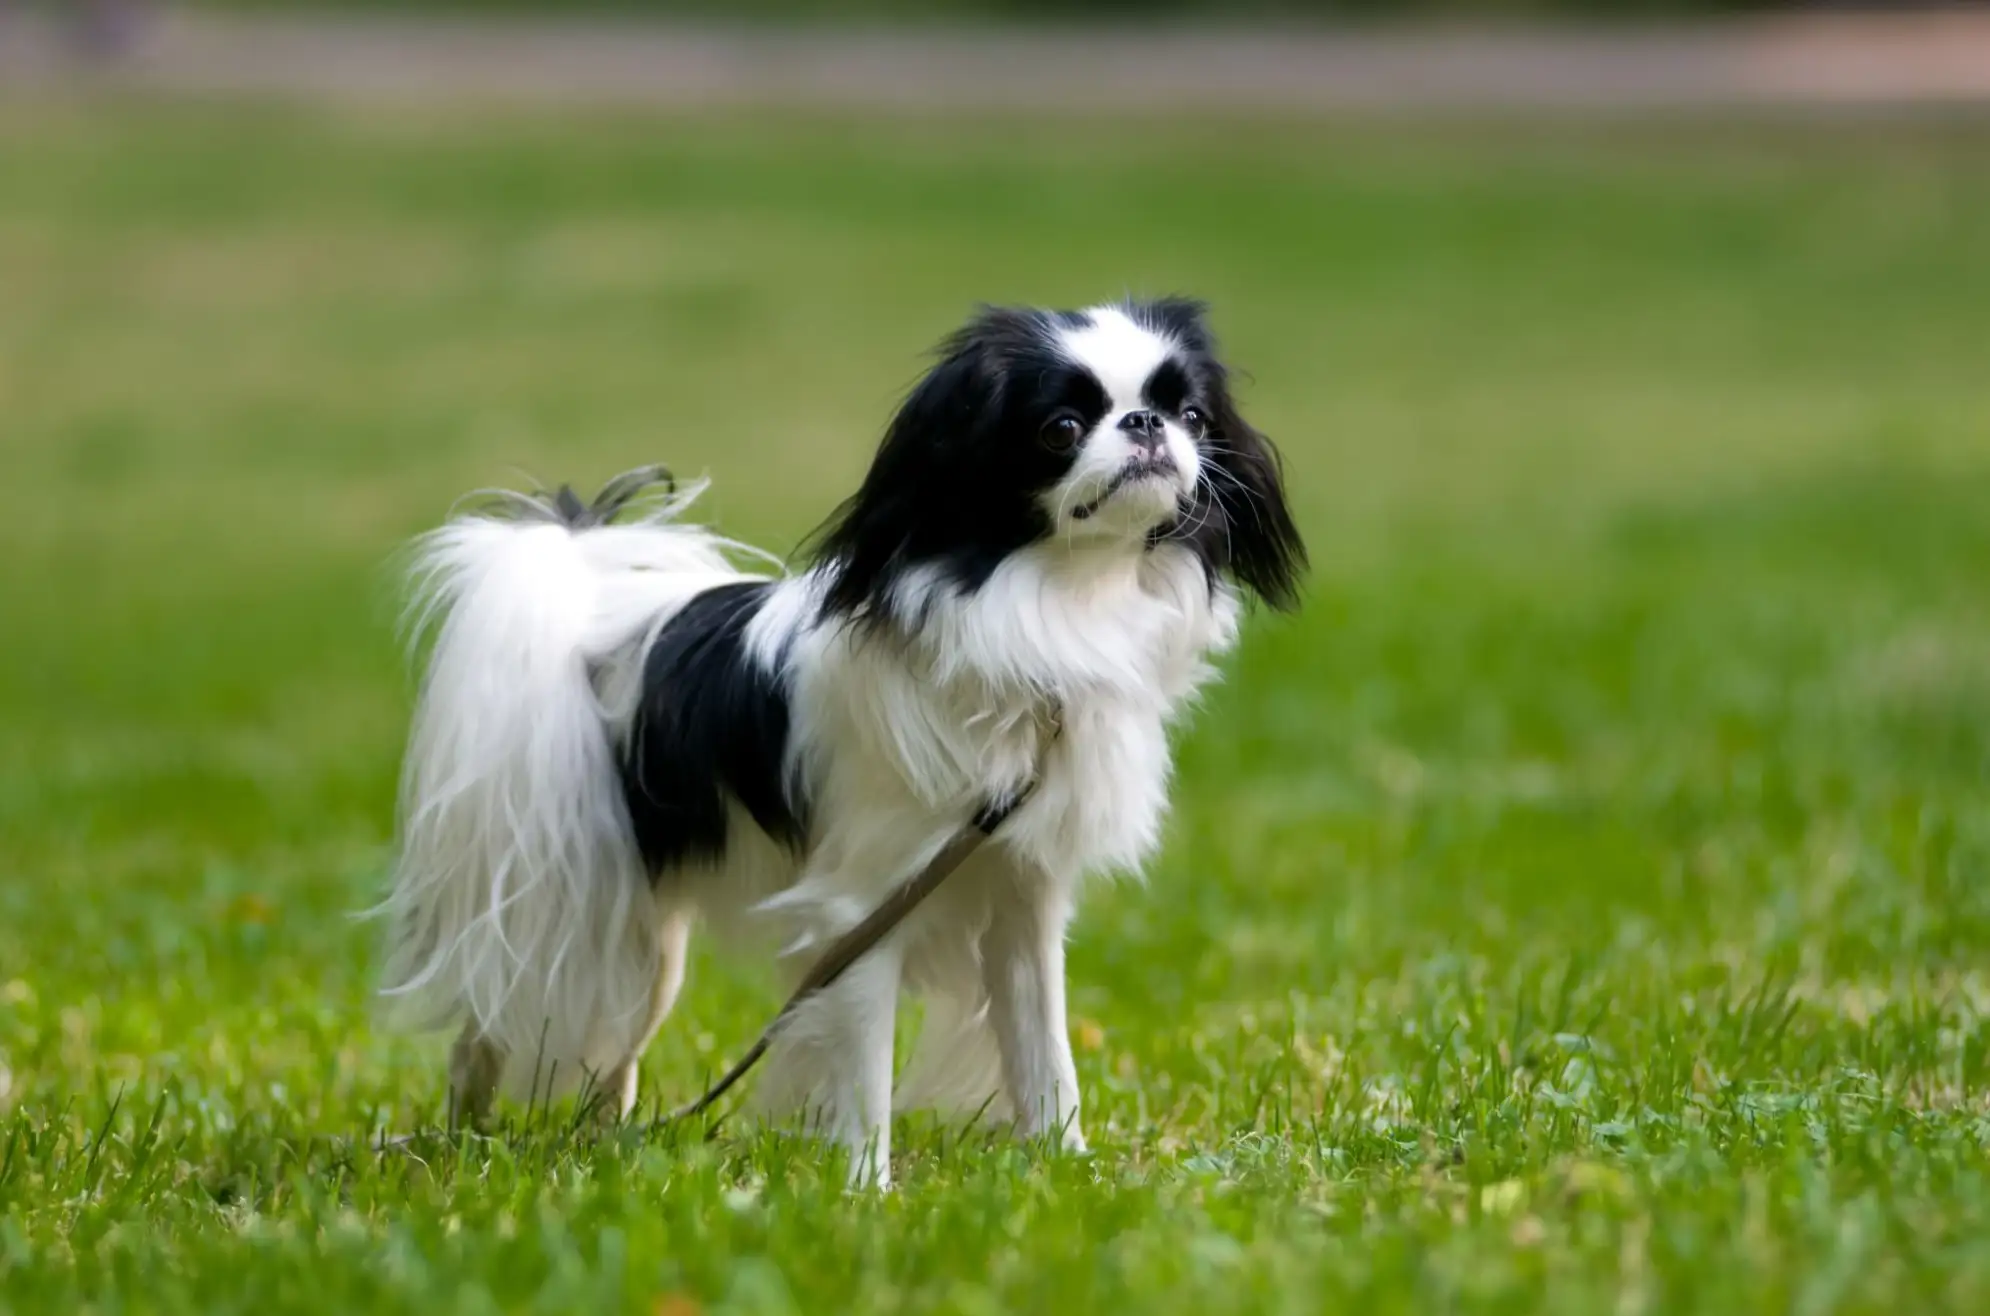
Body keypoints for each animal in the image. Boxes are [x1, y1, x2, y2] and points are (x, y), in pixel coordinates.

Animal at [376, 302, 1305, 1186]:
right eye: (1061, 428)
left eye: (1189, 413)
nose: (1147, 424)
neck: (1058, 603)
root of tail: (590, 609)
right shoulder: (864, 907)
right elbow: (866, 1079)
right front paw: (867, 1193)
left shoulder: (1020, 903)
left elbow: (1045, 1056)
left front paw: (1068, 1170)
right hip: (577, 916)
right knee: (487, 1035)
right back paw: (460, 1145)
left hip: (647, 952)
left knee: (614, 1057)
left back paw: (604, 1144)